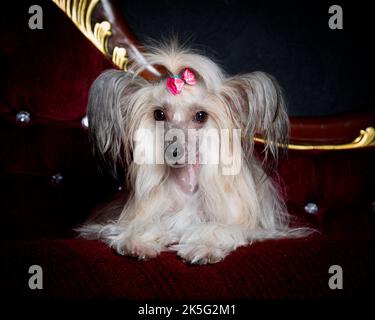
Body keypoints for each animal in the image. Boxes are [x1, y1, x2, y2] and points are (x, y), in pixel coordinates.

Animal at [78, 41, 308, 264]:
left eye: (201, 116)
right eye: (159, 114)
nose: (174, 151)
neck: (186, 185)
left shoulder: (242, 226)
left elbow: (218, 229)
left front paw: (203, 247)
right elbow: (139, 226)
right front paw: (137, 243)